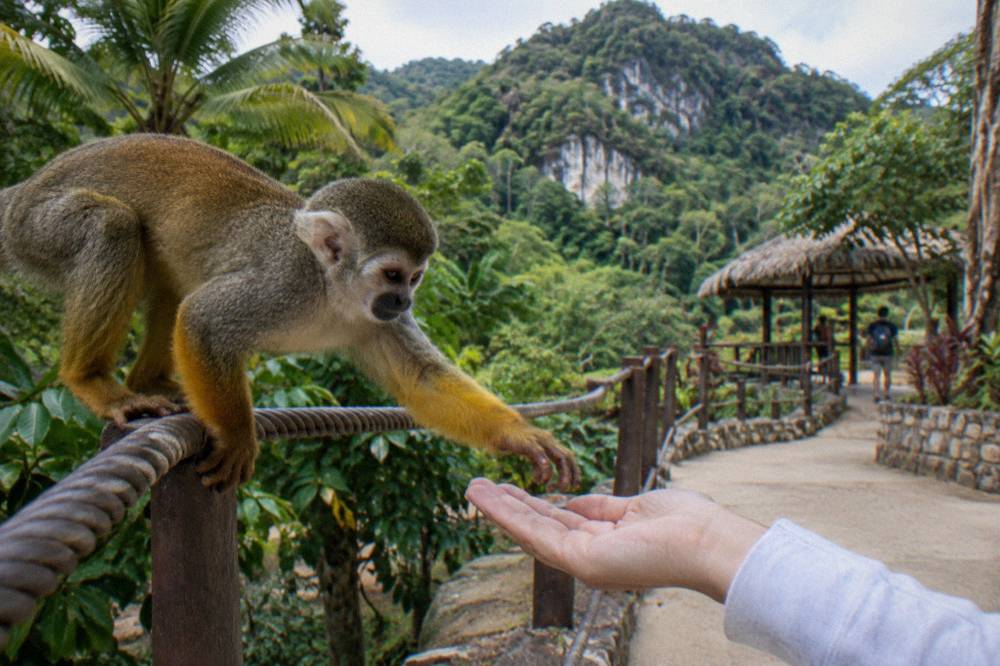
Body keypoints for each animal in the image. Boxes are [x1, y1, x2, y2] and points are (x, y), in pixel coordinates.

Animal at [0, 134, 580, 492]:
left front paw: (520, 436)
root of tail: (25, 189)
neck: (331, 292)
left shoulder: (373, 321)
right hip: (39, 226)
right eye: (393, 276)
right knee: (114, 228)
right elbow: (205, 320)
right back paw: (94, 381)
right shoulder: (281, 284)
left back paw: (150, 380)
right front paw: (237, 435)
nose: (405, 303)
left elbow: (422, 379)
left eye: (415, 278)